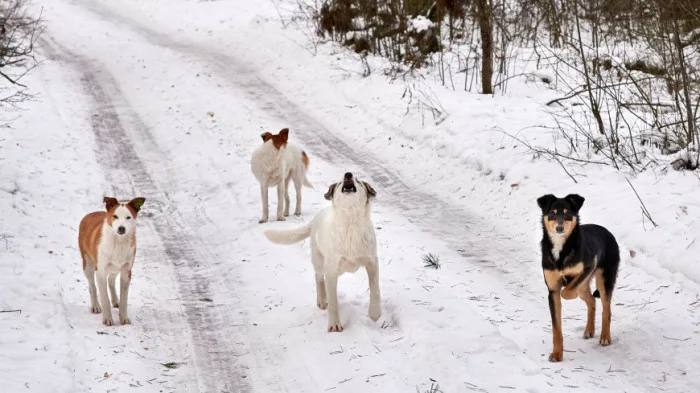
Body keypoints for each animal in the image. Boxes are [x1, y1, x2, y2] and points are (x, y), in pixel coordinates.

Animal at [79, 196, 145, 324]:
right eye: (115, 216)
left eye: (128, 217)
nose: (121, 228)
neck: (118, 242)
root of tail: (90, 214)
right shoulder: (101, 271)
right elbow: (104, 298)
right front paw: (107, 319)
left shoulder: (126, 271)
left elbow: (124, 299)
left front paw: (123, 318)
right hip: (88, 264)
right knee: (92, 286)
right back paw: (95, 306)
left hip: (116, 267)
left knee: (111, 280)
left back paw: (115, 300)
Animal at [266, 172, 380, 330]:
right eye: (340, 183)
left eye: (358, 181)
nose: (348, 174)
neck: (350, 222)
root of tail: (315, 219)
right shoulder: (331, 270)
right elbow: (333, 302)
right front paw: (335, 325)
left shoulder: (372, 262)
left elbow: (375, 290)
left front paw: (375, 314)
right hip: (320, 262)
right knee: (319, 277)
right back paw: (321, 300)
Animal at [540, 194, 620, 362]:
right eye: (552, 213)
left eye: (567, 213)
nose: (559, 228)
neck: (561, 248)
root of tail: (607, 232)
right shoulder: (552, 291)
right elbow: (556, 328)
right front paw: (557, 354)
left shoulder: (588, 267)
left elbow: (567, 292)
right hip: (585, 287)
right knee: (592, 301)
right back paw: (589, 330)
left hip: (603, 280)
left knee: (606, 309)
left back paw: (605, 337)